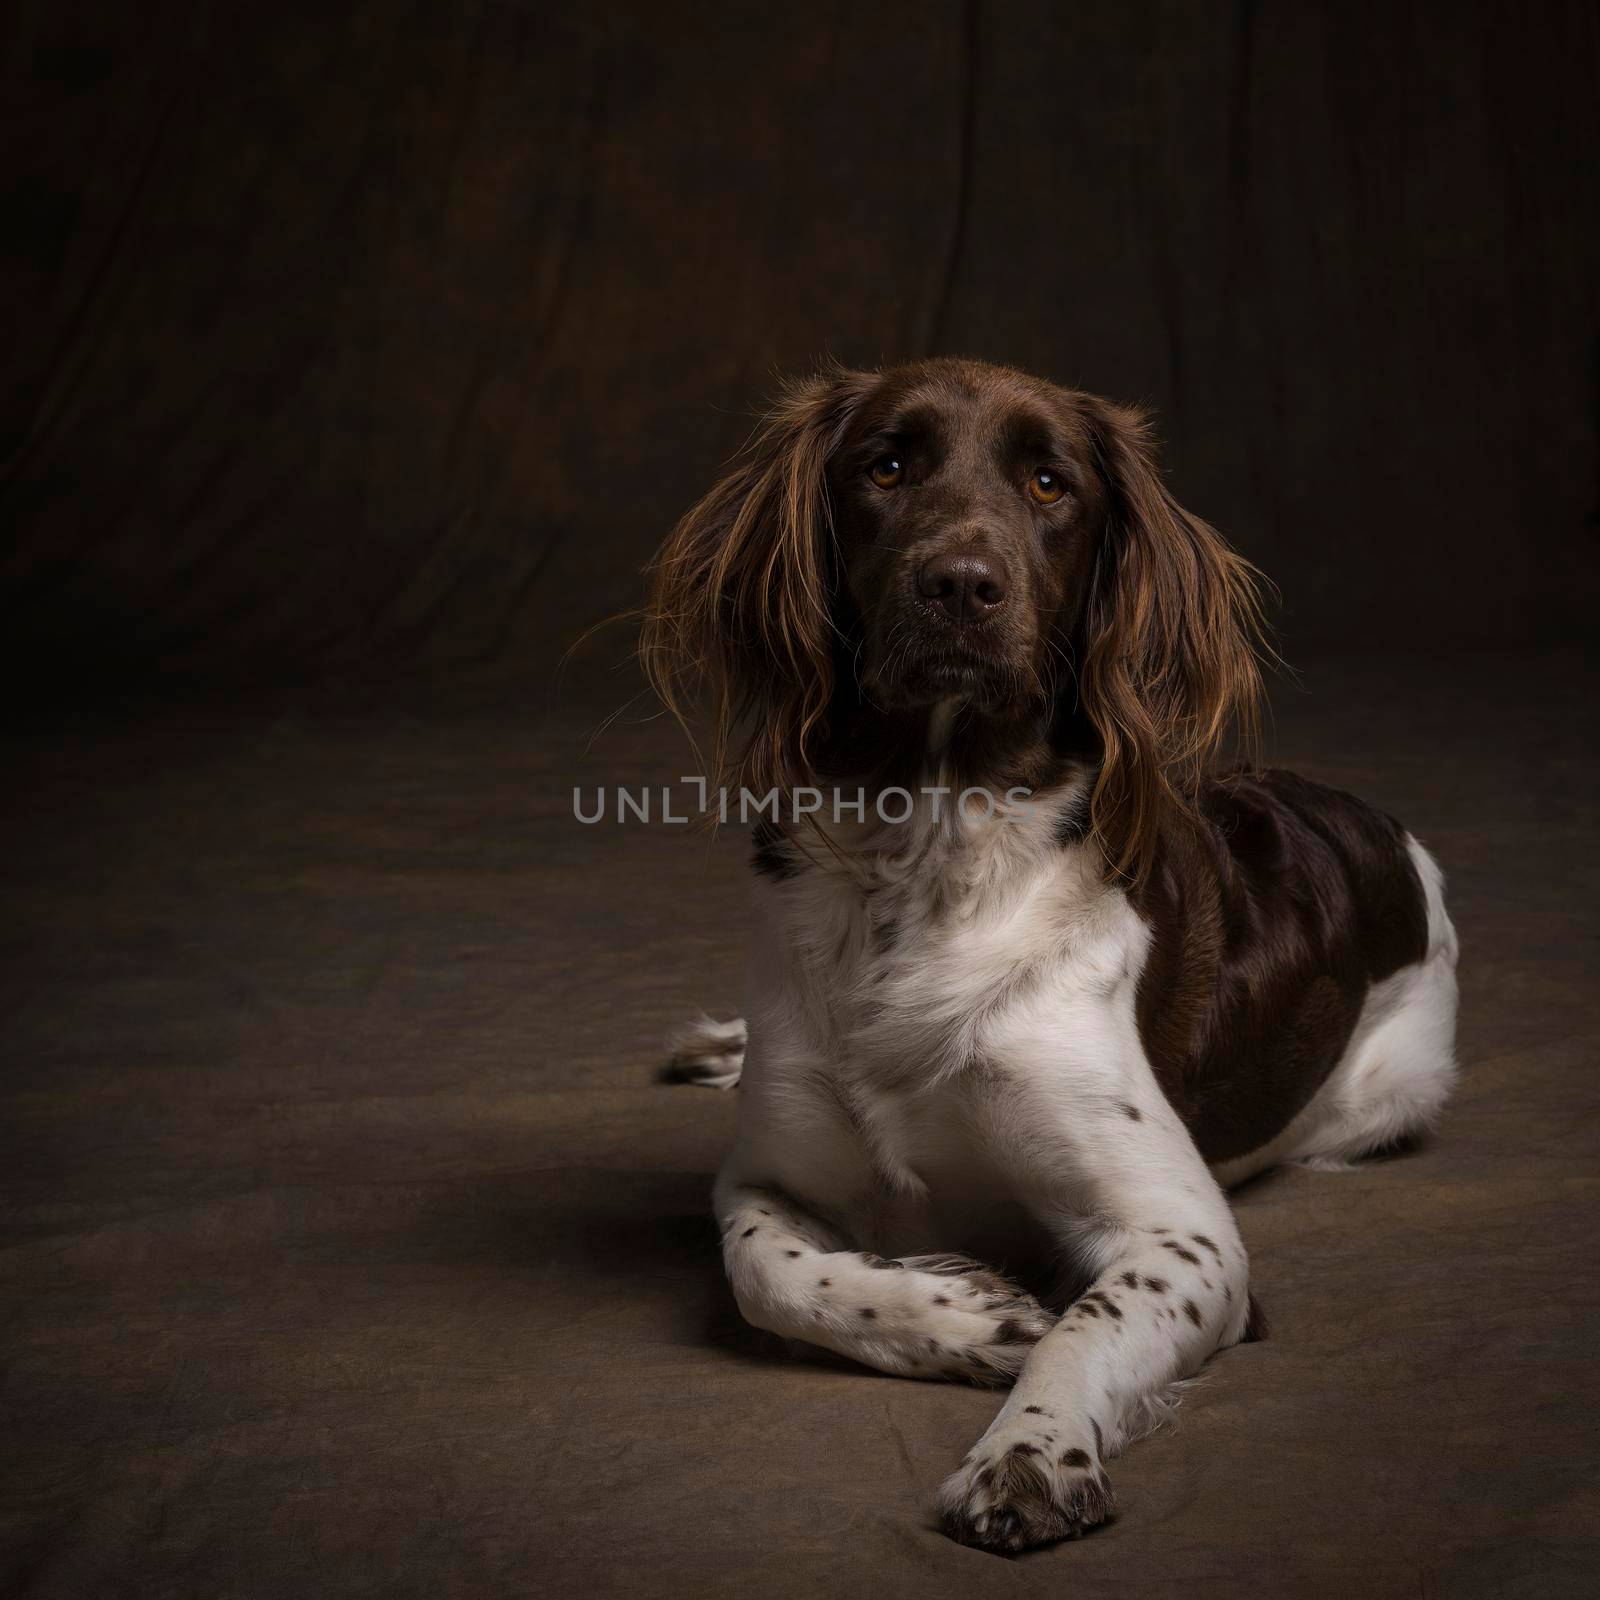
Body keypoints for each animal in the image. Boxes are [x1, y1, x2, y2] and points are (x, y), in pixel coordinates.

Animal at [640, 360, 1465, 1548]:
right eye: (885, 466)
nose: (959, 584)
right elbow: (771, 1271)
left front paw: (1027, 1451)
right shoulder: (763, 1173)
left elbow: (1085, 1320)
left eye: (1047, 482)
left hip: (1388, 1094)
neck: (929, 857)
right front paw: (961, 1313)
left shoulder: (1187, 1237)